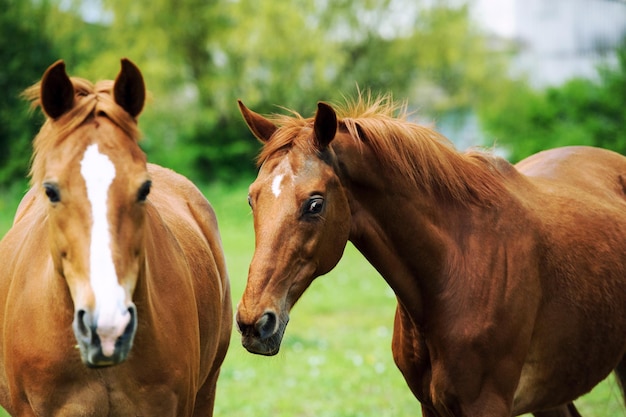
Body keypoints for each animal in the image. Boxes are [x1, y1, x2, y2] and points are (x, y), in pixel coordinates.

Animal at [234, 95, 624, 416]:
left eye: (315, 204)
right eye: (252, 199)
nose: (254, 323)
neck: (457, 266)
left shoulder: (486, 407)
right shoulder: (430, 406)